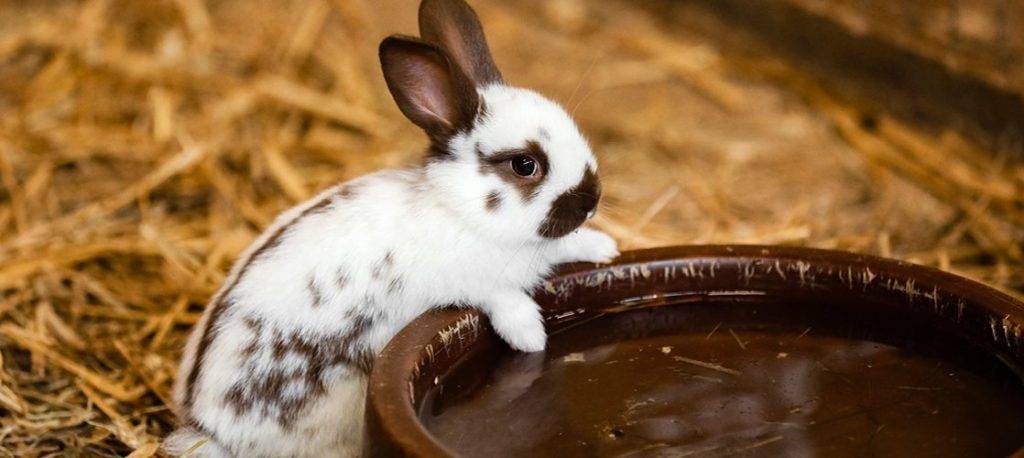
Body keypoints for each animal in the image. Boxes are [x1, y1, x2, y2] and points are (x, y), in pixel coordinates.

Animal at [163, 0, 618, 454]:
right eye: (526, 165)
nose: (591, 199)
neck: (461, 209)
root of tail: (209, 430)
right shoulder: (473, 282)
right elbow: (503, 300)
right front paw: (530, 336)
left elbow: (565, 247)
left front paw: (605, 248)